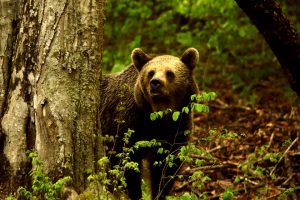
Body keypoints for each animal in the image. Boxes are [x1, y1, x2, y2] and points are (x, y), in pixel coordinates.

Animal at [100, 48, 199, 200]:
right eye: (151, 72)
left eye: (169, 73)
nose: (155, 83)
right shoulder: (128, 122)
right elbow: (125, 161)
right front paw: (135, 193)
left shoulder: (178, 127)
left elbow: (167, 166)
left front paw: (159, 193)